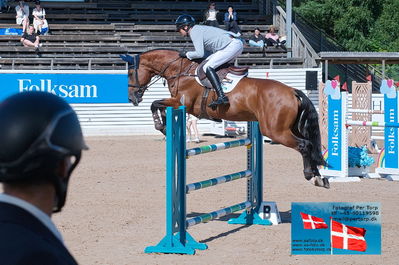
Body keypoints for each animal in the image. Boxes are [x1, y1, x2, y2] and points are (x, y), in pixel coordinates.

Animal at [120, 48, 330, 188]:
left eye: (130, 73)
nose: (131, 97)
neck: (180, 70)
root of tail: (292, 91)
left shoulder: (181, 103)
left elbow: (155, 104)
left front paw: (161, 126)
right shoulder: (179, 104)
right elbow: (158, 105)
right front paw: (164, 126)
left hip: (275, 131)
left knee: (303, 145)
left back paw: (310, 174)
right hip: (288, 128)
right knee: (309, 144)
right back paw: (320, 176)